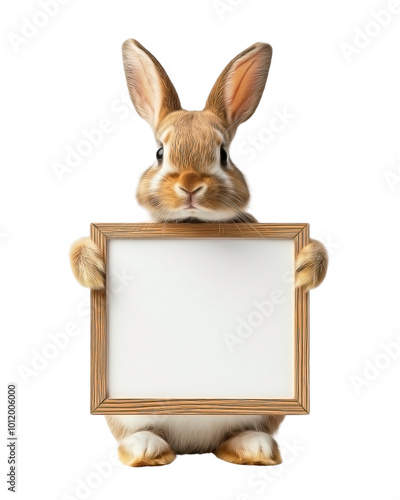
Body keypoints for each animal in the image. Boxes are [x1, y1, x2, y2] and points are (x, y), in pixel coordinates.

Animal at [69, 41, 328, 466]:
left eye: (223, 154)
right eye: (159, 153)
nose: (190, 184)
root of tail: (194, 447)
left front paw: (305, 266)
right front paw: (93, 267)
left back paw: (253, 448)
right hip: (126, 414)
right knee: (141, 435)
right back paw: (147, 450)